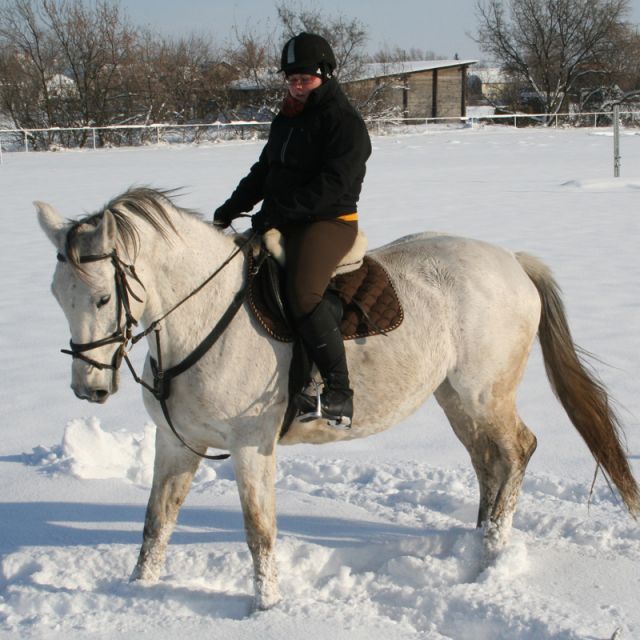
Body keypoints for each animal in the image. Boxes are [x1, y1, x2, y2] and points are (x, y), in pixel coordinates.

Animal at [36, 186, 640, 608]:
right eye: (57, 296)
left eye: (103, 296)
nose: (89, 388)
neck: (202, 319)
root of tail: (512, 261)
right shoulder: (175, 443)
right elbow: (155, 525)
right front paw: (138, 593)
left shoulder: (252, 448)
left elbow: (259, 533)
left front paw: (267, 609)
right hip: (454, 398)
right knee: (488, 462)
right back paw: (476, 545)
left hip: (483, 394)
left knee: (516, 451)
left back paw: (492, 554)